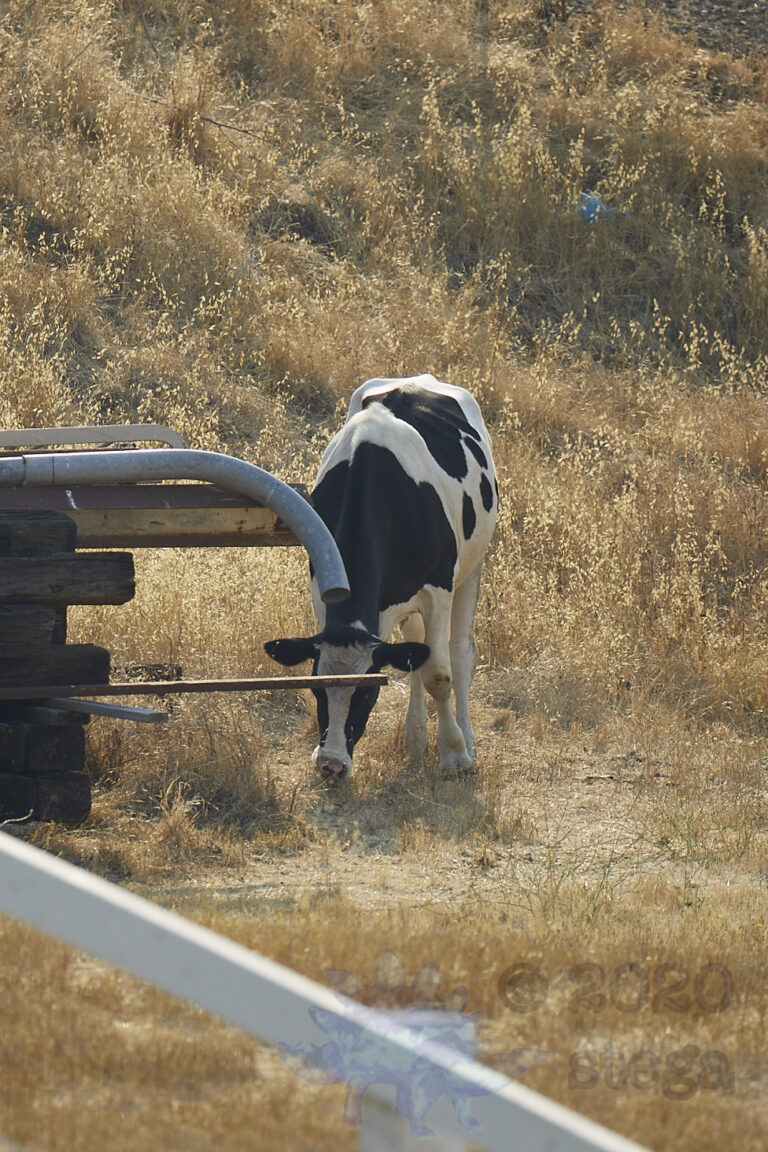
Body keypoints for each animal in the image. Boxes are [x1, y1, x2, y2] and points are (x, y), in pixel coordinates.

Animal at [265, 374, 498, 779]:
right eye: (315, 688)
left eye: (367, 693)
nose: (331, 765)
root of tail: (421, 377)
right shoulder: (323, 585)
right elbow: (419, 662)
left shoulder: (438, 589)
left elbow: (439, 673)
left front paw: (454, 753)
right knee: (415, 650)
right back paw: (416, 738)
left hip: (473, 564)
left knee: (460, 652)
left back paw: (467, 742)